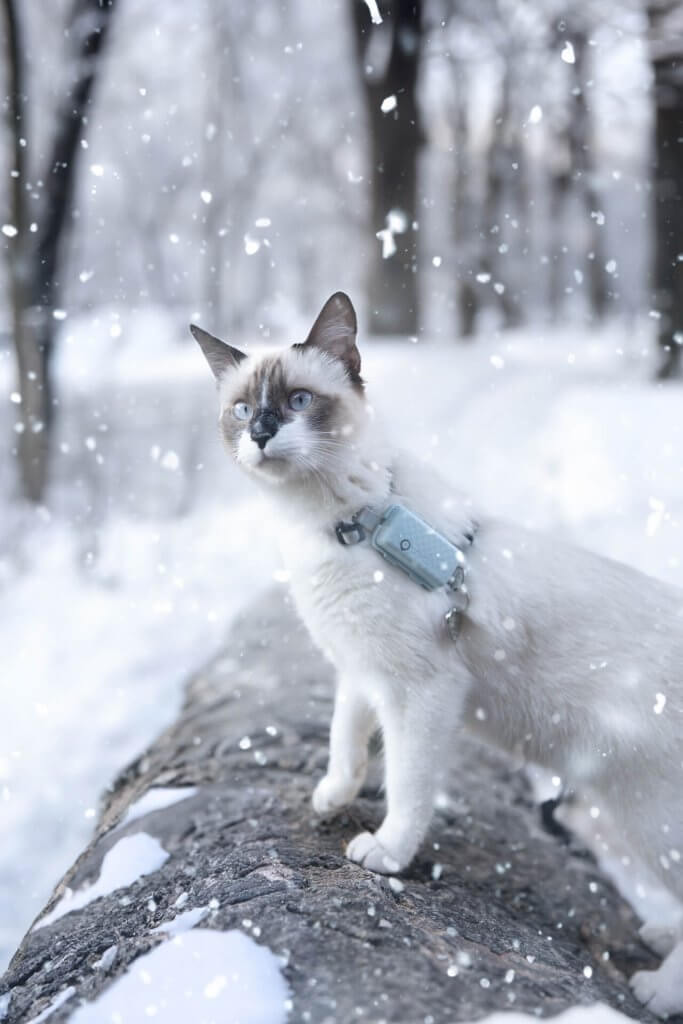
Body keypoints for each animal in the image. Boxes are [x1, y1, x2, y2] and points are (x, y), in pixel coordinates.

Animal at [191, 290, 683, 1015]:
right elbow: (344, 738)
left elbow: (406, 782)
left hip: (649, 817)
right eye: (243, 409)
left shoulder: (420, 692)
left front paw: (387, 852)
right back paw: (659, 935)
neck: (336, 523)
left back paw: (657, 990)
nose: (260, 435)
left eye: (300, 402)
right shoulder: (361, 668)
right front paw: (331, 797)